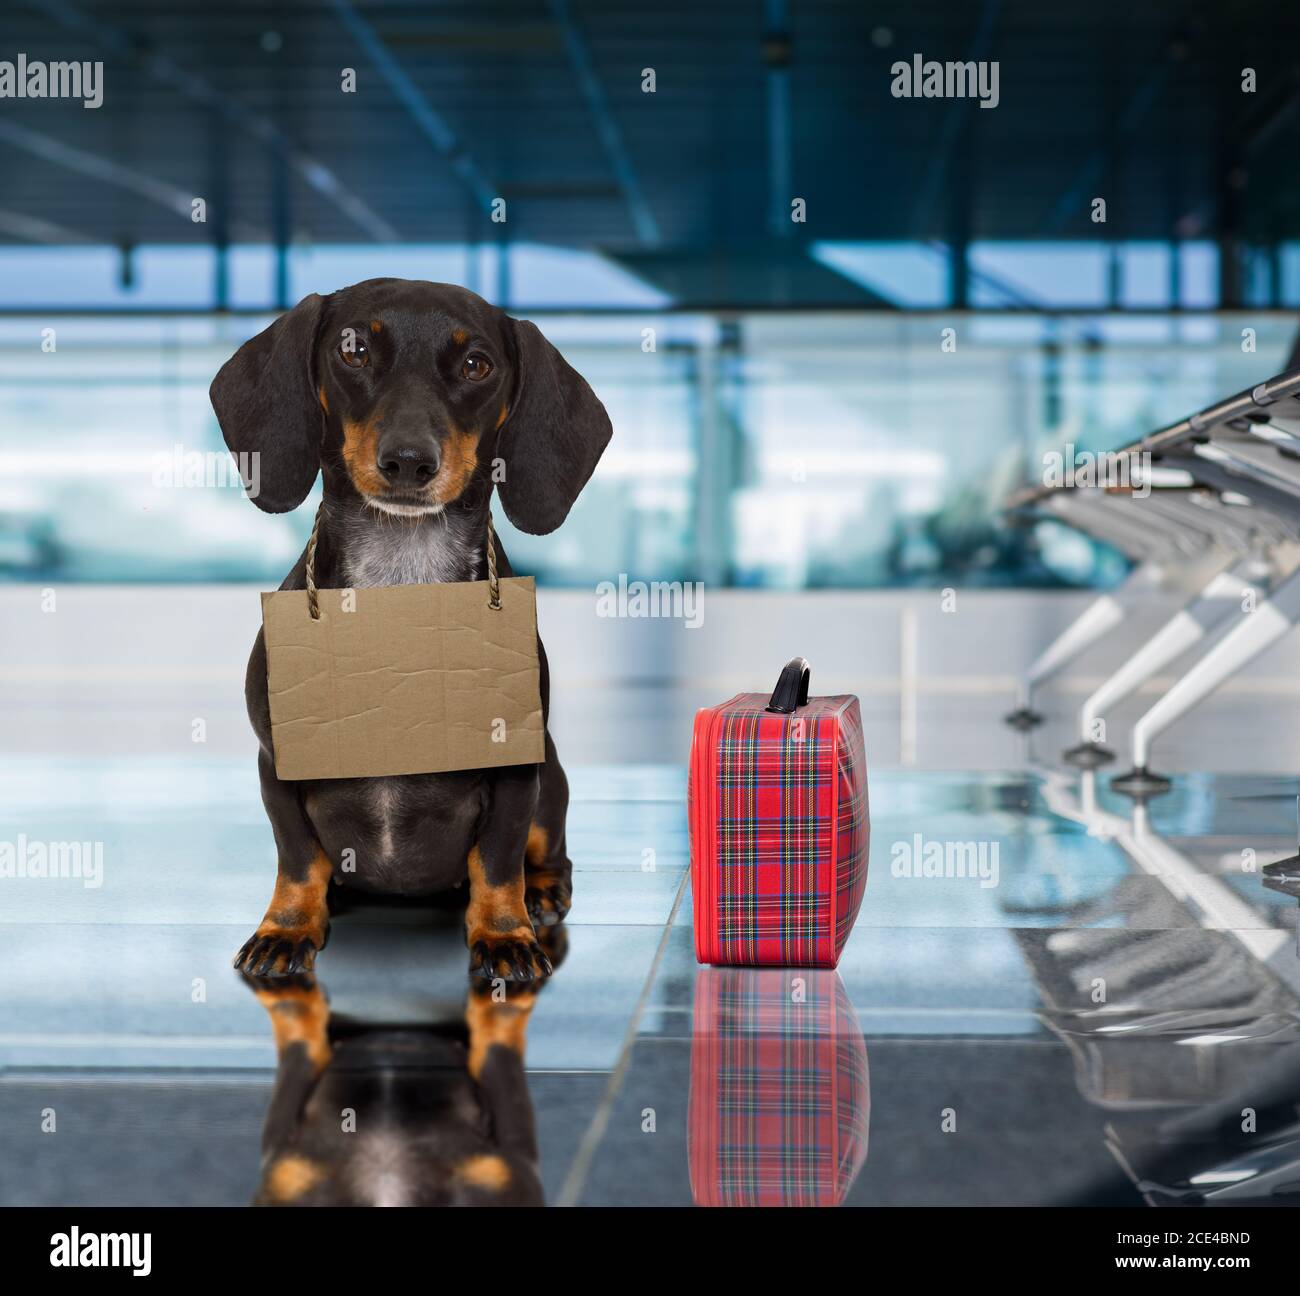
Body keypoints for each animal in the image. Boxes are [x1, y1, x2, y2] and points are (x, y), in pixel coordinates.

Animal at [209, 275, 613, 982]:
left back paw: (542, 894)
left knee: (546, 849)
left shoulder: (515, 774)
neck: (403, 584)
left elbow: (497, 860)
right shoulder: (277, 762)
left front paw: (504, 935)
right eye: (354, 351)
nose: (407, 462)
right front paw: (287, 927)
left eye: (477, 364)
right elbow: (298, 856)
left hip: (552, 776)